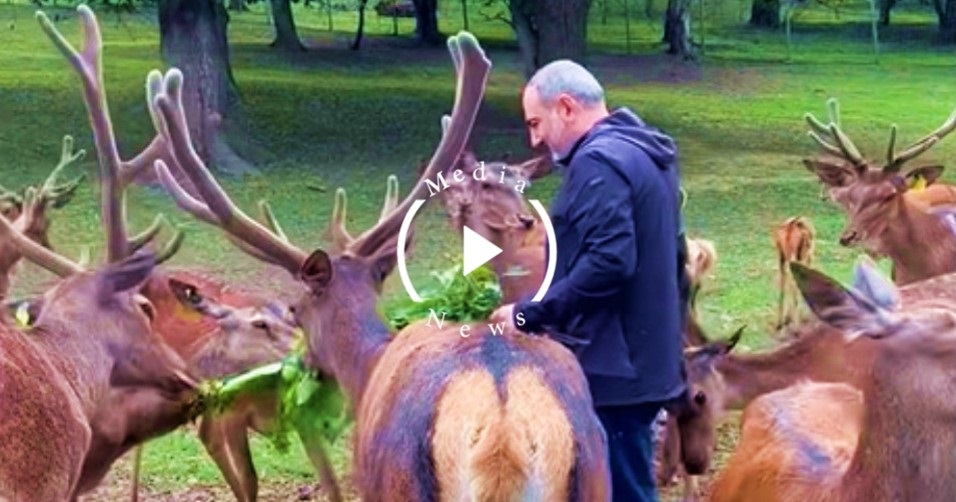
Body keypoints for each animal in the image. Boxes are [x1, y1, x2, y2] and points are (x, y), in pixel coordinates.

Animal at [150, 31, 614, 500]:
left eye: (295, 310)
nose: (303, 365)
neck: (368, 366)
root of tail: (506, 421)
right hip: (597, 475)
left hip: (403, 480)